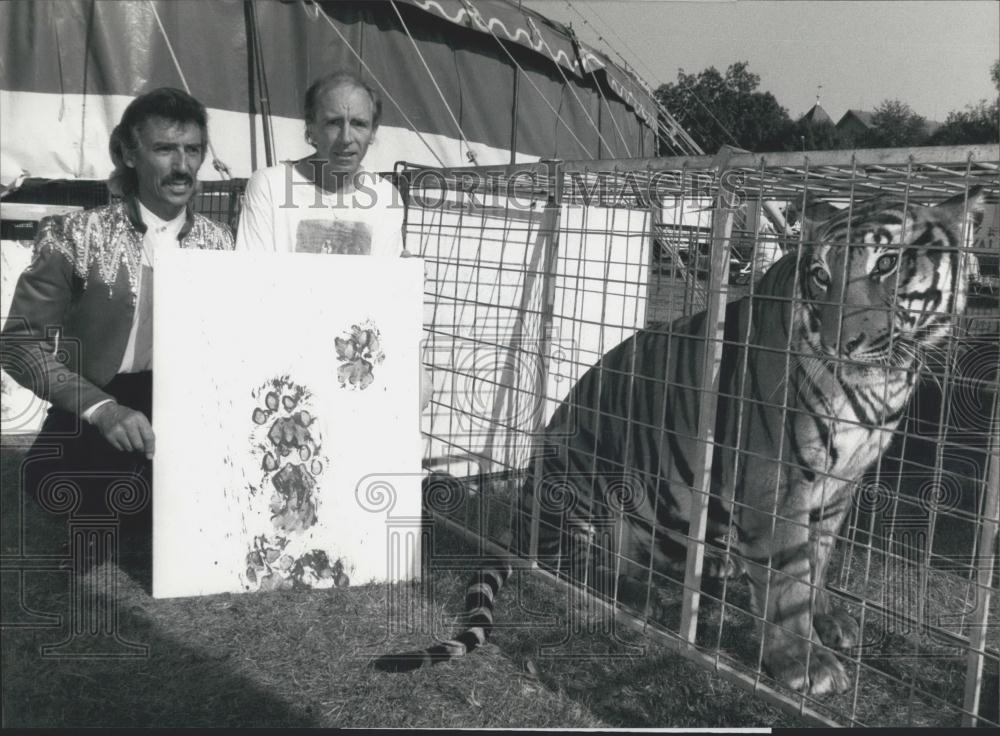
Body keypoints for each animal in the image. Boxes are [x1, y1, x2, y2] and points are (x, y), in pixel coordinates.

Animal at [376, 188, 984, 696]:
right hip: (590, 473)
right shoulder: (777, 482)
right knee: (583, 563)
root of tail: (521, 511)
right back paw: (641, 591)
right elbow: (789, 580)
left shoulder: (839, 486)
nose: (843, 342)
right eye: (819, 275)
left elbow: (819, 560)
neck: (881, 380)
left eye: (887, 264)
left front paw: (827, 618)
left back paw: (714, 567)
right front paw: (803, 663)